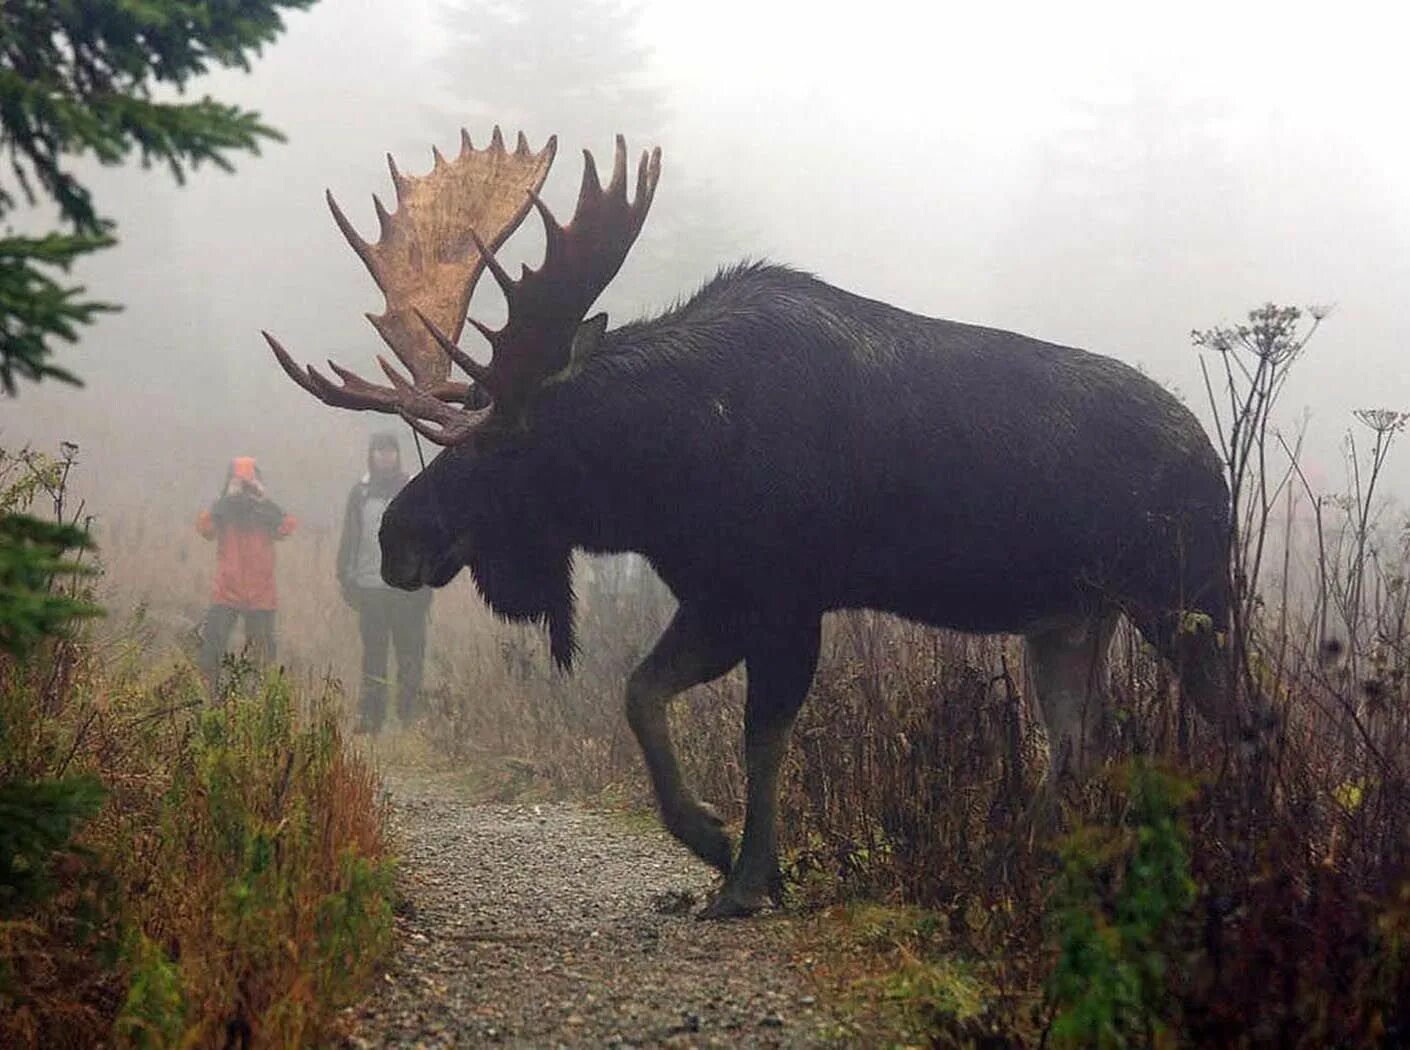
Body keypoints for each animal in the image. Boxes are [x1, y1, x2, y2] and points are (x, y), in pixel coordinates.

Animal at [262, 128, 1223, 918]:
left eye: (508, 444)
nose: (396, 538)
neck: (671, 465)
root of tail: (1210, 454)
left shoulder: (787, 596)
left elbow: (761, 737)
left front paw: (751, 876)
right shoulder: (717, 595)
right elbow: (641, 694)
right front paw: (713, 843)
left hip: (1187, 595)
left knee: (1231, 716)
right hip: (1068, 619)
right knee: (1080, 739)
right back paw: (1023, 864)